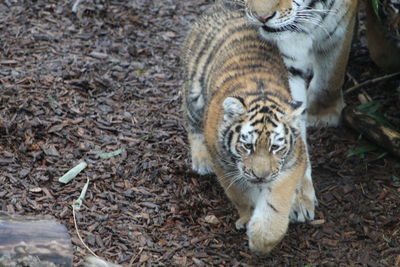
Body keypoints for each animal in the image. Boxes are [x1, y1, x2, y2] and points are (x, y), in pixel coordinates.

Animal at [180, 0, 316, 255]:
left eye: (275, 147)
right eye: (247, 146)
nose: (261, 176)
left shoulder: (292, 163)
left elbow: (276, 203)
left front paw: (262, 240)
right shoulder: (226, 167)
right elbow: (242, 195)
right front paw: (249, 219)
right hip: (194, 91)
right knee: (191, 123)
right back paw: (201, 161)